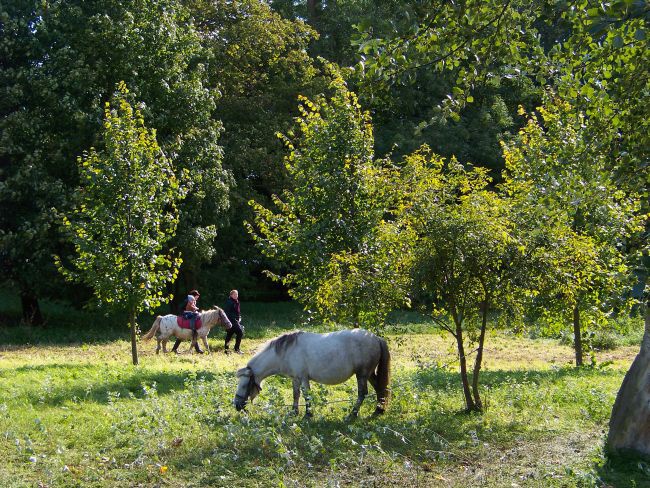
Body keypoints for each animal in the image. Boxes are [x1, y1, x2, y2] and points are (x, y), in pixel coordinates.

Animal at [233, 328, 390, 416]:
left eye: (244, 385)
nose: (237, 405)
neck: (285, 352)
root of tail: (376, 338)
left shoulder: (303, 378)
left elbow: (306, 395)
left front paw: (308, 414)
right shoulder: (295, 378)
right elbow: (296, 394)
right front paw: (294, 412)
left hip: (362, 375)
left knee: (362, 393)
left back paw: (353, 414)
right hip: (369, 374)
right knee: (379, 388)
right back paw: (378, 410)